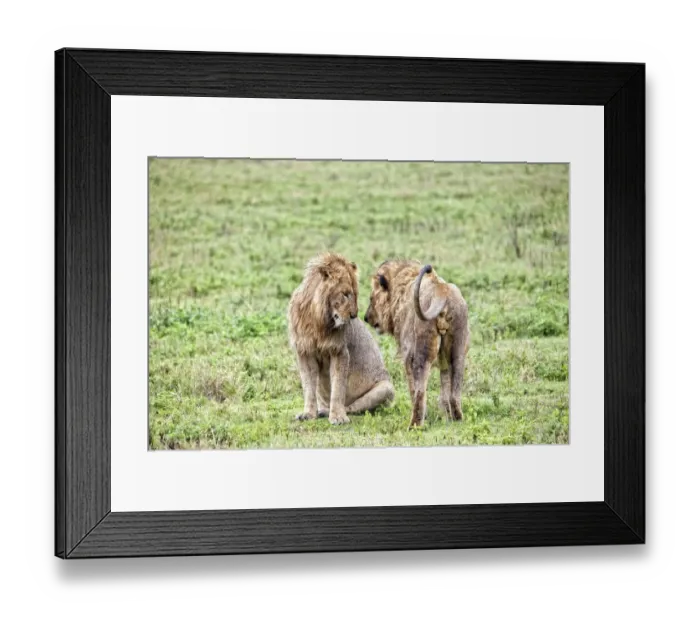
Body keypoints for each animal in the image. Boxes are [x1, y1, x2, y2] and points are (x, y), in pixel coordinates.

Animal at [288, 252, 395, 425]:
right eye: (345, 294)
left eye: (355, 294)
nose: (354, 316)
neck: (318, 320)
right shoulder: (304, 352)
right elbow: (308, 388)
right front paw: (308, 414)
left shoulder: (339, 351)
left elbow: (338, 387)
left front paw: (338, 416)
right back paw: (322, 410)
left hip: (387, 387)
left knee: (354, 407)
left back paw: (333, 411)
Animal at [364, 260, 470, 428]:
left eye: (371, 298)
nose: (366, 317)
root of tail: (442, 292)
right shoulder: (443, 362)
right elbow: (445, 386)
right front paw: (446, 417)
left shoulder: (407, 355)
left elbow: (412, 388)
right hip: (458, 350)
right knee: (455, 391)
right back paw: (458, 419)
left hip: (422, 352)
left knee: (420, 392)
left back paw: (414, 425)